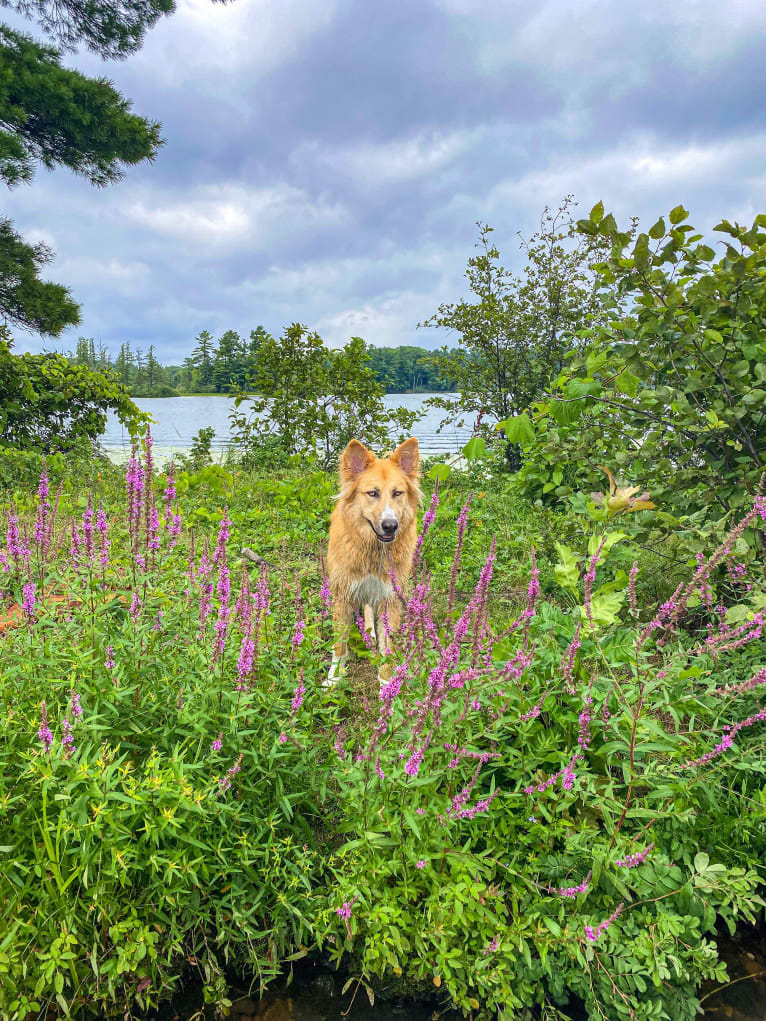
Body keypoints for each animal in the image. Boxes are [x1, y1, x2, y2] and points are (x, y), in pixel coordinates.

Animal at [324, 436, 420, 686]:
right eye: (372, 493)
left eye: (398, 493)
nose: (390, 526)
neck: (373, 550)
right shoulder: (343, 595)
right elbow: (339, 645)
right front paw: (334, 678)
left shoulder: (390, 597)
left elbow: (389, 646)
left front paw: (387, 683)